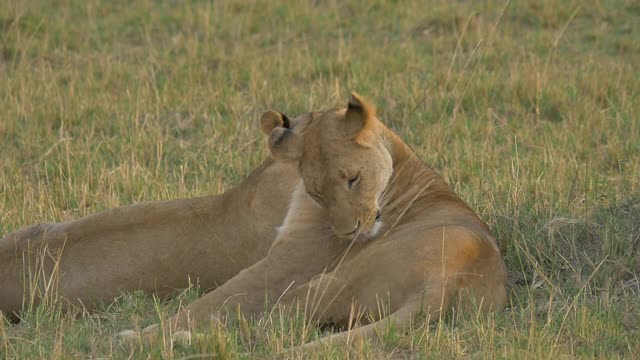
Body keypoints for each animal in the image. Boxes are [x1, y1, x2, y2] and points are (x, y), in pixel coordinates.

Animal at [120, 93, 508, 354]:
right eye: (318, 192)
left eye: (352, 179)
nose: (349, 232)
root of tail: (448, 280)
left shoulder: (287, 266)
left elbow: (214, 301)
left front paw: (147, 334)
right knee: (269, 330)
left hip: (325, 282)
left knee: (265, 328)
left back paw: (169, 341)